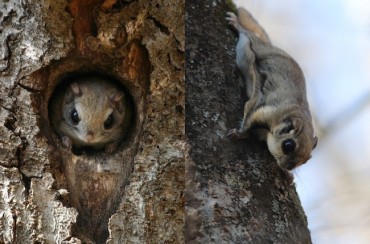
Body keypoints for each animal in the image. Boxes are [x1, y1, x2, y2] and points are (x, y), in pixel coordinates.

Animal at [225, 8, 318, 171]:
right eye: (288, 145)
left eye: (306, 160)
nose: (287, 168)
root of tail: (269, 46)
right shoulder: (265, 111)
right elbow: (248, 119)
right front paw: (239, 134)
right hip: (248, 50)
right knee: (248, 35)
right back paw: (237, 24)